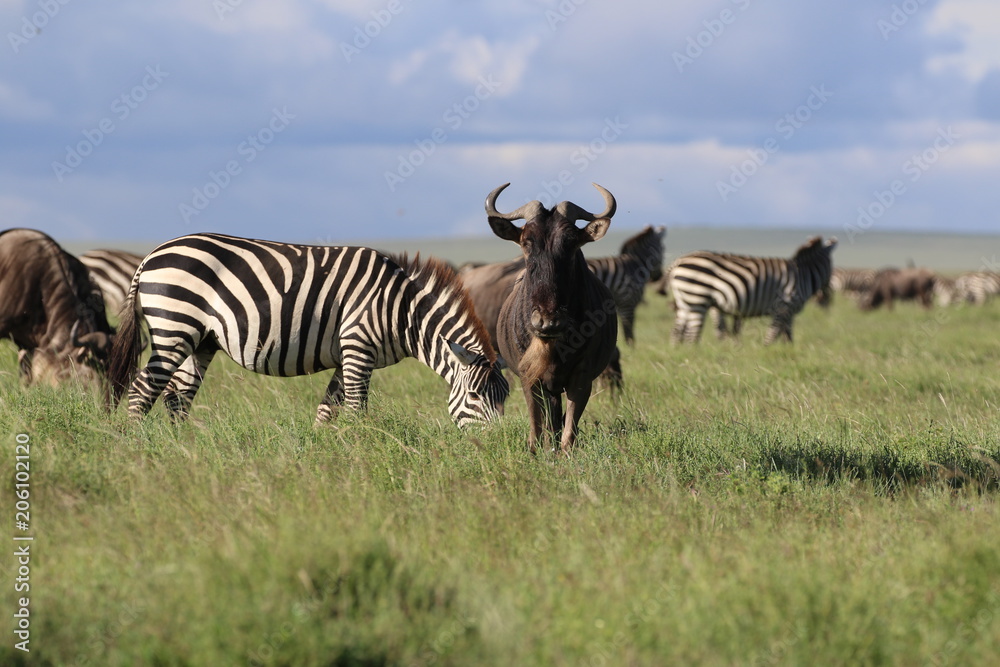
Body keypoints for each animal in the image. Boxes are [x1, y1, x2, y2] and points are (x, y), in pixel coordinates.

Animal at [107, 233, 509, 427]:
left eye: (505, 399)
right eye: (475, 397)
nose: (493, 447)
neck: (401, 310)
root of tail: (152, 254)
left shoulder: (347, 356)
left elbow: (327, 409)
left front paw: (325, 456)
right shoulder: (358, 346)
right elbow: (355, 409)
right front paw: (360, 453)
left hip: (201, 339)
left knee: (178, 396)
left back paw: (183, 450)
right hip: (174, 326)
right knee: (143, 389)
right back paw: (138, 449)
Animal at [668, 236, 837, 344]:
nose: (826, 296)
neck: (804, 274)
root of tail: (678, 261)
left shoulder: (789, 312)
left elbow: (787, 337)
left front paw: (788, 355)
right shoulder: (784, 305)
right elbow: (772, 334)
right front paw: (766, 352)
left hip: (686, 301)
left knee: (677, 332)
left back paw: (680, 354)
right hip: (697, 297)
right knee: (691, 335)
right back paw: (693, 355)